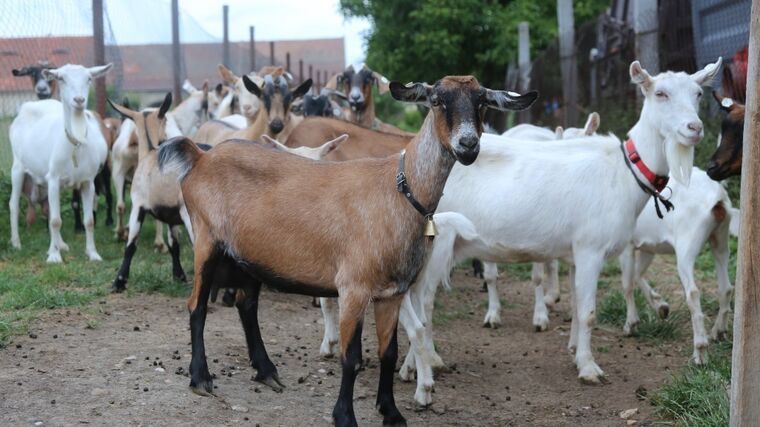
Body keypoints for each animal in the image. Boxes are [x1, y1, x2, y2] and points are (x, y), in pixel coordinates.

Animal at [9, 64, 113, 264]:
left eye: (89, 78)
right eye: (62, 79)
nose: (79, 100)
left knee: (49, 210)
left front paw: (93, 254)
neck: (75, 144)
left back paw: (61, 244)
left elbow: (89, 221)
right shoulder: (54, 179)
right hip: (17, 168)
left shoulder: (88, 182)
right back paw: (16, 243)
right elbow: (56, 221)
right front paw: (54, 256)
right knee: (14, 204)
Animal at [156, 75, 536, 426]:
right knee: (197, 306)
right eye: (437, 100)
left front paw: (391, 412)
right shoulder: (353, 288)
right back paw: (201, 378)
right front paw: (345, 416)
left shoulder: (392, 293)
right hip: (206, 240)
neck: (398, 190)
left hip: (248, 255)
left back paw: (267, 372)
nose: (468, 145)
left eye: (482, 101)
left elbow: (388, 352)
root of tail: (200, 156)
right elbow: (351, 358)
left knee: (246, 304)